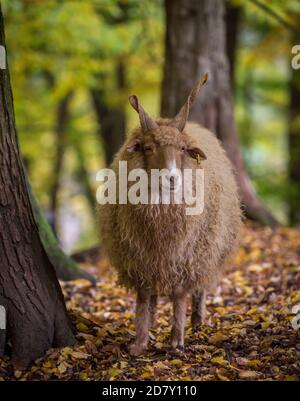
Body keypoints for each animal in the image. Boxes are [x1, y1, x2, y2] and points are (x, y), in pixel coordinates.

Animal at [97, 73, 243, 354]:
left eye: (184, 150)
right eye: (148, 148)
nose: (172, 178)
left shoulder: (187, 256)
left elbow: (179, 295)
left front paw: (177, 340)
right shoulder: (139, 257)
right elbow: (143, 297)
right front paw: (140, 342)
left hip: (208, 249)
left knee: (200, 289)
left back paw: (197, 320)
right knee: (154, 295)